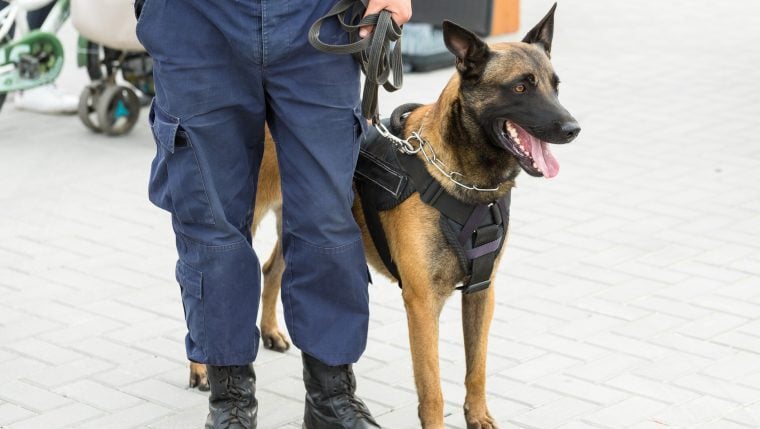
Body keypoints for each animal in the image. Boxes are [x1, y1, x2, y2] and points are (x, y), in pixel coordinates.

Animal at [187, 4, 580, 428]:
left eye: (555, 86)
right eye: (521, 87)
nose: (573, 128)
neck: (462, 180)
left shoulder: (481, 290)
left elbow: (476, 369)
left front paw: (478, 417)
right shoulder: (422, 303)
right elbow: (433, 391)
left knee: (270, 267)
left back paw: (271, 329)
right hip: (241, 218)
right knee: (200, 287)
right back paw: (200, 367)